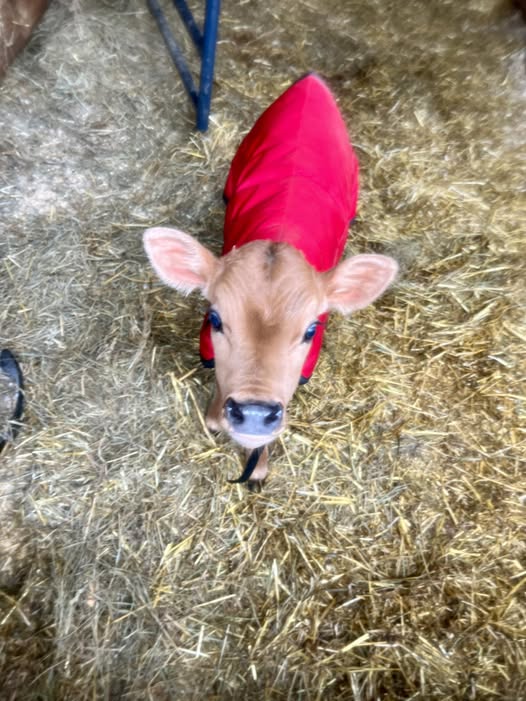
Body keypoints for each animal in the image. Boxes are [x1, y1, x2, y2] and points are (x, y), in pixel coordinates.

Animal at [144, 74, 398, 484]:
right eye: (215, 318)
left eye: (311, 330)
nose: (254, 414)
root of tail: (310, 82)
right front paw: (215, 420)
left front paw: (258, 465)